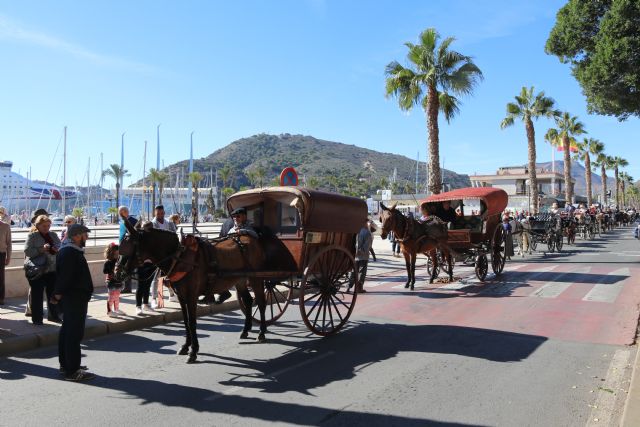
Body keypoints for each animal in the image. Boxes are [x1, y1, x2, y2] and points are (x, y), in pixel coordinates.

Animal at [116, 221, 268, 364]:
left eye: (128, 246)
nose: (117, 272)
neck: (179, 257)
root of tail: (251, 238)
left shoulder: (191, 297)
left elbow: (192, 322)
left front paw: (193, 351)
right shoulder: (182, 297)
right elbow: (186, 322)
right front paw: (186, 346)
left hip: (256, 278)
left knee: (261, 302)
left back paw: (262, 332)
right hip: (240, 280)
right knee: (248, 300)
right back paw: (245, 330)